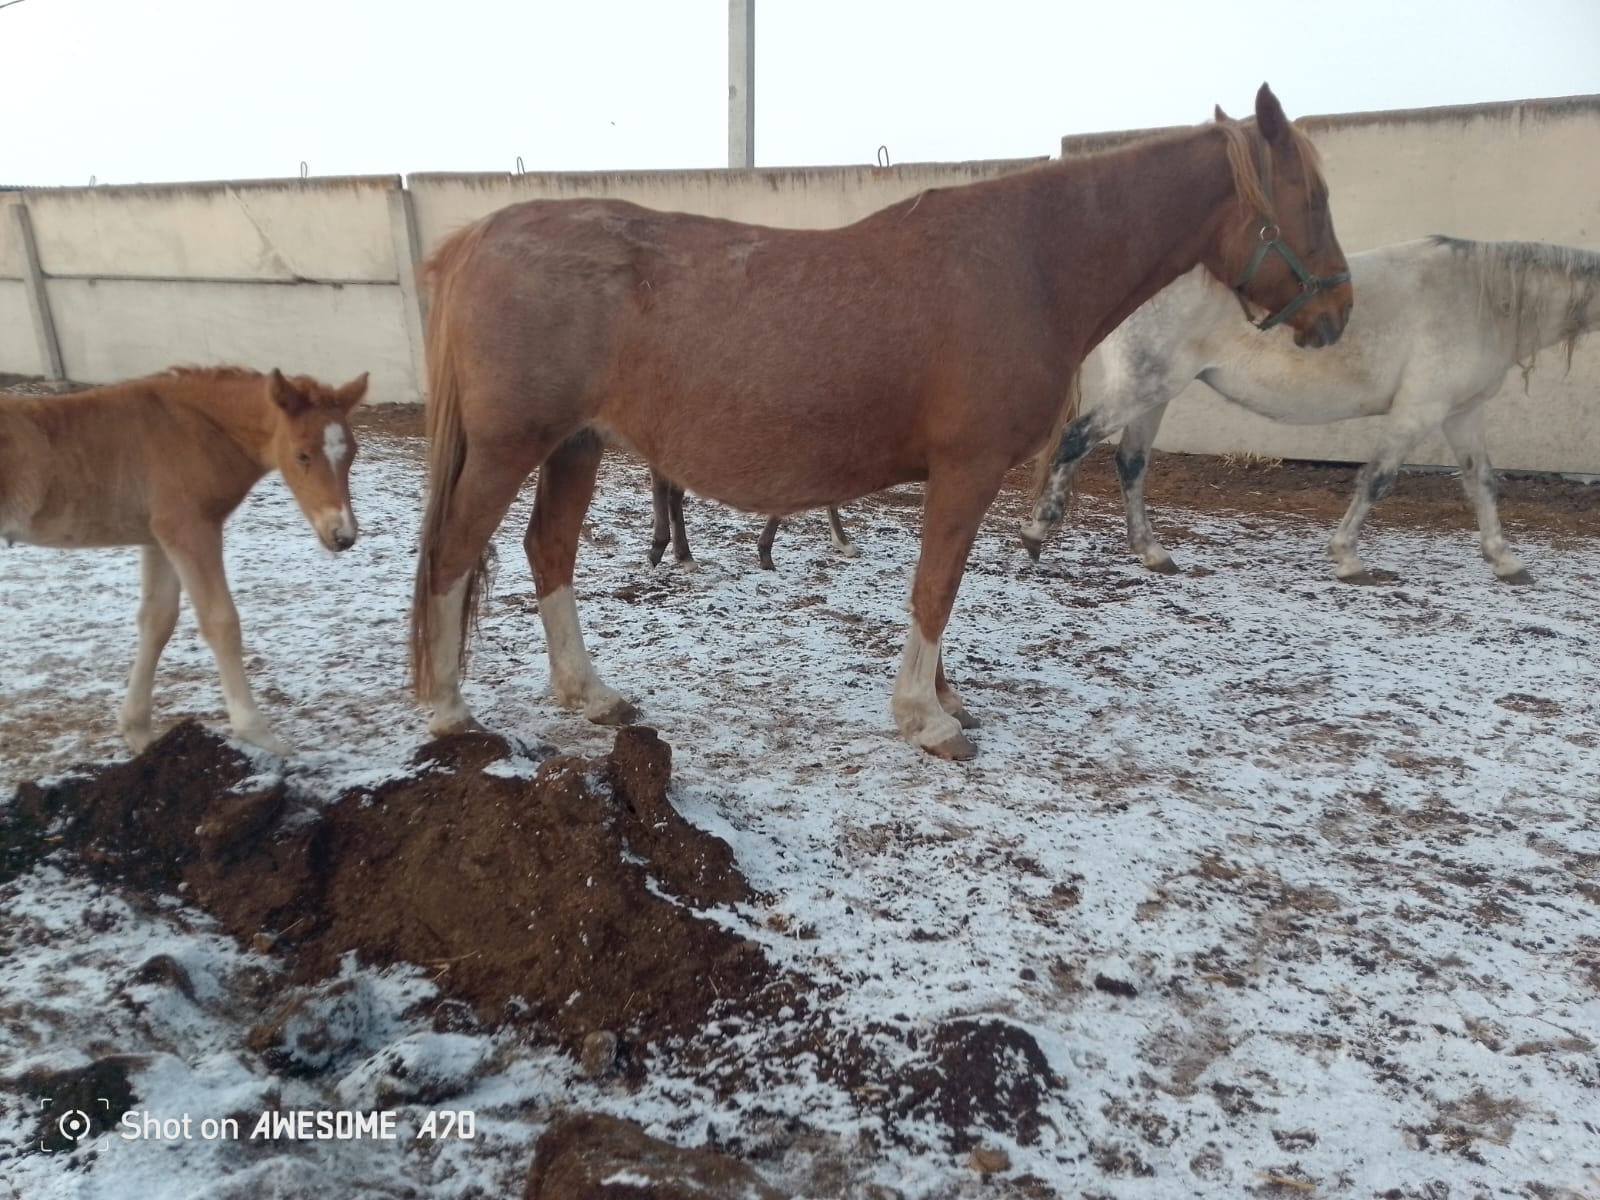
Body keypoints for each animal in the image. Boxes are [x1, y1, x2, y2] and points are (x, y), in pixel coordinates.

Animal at [0, 366, 368, 755]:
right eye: (302, 455)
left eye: (352, 454)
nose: (342, 535)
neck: (192, 429)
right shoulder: (190, 529)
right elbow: (221, 622)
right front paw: (258, 732)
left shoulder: (159, 538)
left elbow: (157, 620)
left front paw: (138, 730)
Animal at [1021, 236, 1600, 584]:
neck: (1476, 301)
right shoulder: (1419, 410)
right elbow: (1377, 479)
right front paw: (1348, 559)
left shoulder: (1462, 414)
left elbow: (1482, 482)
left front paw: (1505, 560)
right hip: (1142, 387)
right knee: (1076, 440)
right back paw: (1036, 534)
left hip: (1156, 393)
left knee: (1131, 463)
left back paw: (1152, 552)